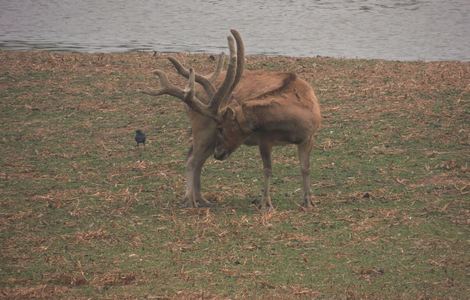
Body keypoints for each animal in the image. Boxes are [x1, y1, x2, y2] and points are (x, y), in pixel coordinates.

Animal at [143, 29, 320, 210]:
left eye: (221, 127)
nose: (219, 153)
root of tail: (188, 100)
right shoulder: (264, 139)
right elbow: (267, 169)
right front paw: (265, 204)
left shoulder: (309, 137)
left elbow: (305, 168)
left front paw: (309, 202)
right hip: (202, 129)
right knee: (191, 160)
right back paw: (189, 200)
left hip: (208, 137)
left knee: (197, 160)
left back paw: (202, 199)